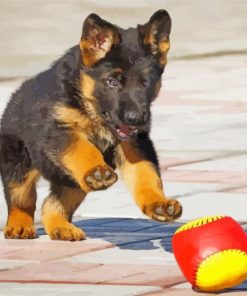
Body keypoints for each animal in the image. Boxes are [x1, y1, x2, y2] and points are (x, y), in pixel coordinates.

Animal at [0, 9, 181, 240]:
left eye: (146, 83)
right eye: (112, 82)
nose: (136, 119)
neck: (90, 109)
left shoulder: (134, 142)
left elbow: (145, 173)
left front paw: (157, 202)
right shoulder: (60, 131)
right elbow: (83, 149)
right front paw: (97, 169)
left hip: (72, 182)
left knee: (51, 204)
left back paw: (62, 227)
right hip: (19, 163)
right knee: (21, 198)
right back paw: (19, 226)